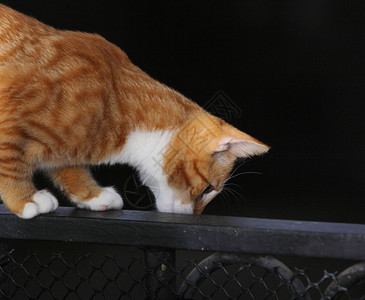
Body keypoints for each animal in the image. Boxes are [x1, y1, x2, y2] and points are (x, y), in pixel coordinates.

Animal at [0, 4, 268, 218]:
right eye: (208, 189)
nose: (195, 215)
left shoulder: (64, 150)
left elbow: (69, 168)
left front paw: (91, 194)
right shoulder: (11, 122)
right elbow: (11, 163)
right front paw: (23, 199)